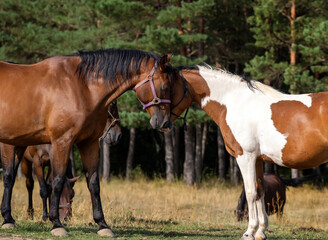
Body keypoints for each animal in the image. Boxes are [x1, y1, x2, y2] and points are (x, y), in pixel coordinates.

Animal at [0, 48, 173, 236]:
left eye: (73, 195)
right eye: (165, 87)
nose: (165, 122)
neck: (80, 87)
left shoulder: (88, 143)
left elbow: (93, 183)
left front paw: (102, 224)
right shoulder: (59, 144)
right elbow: (55, 183)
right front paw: (56, 223)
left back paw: (9, 218)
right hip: (13, 148)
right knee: (13, 178)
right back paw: (10, 218)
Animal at [170, 64, 326, 239]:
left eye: (167, 87)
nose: (160, 122)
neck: (235, 102)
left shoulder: (245, 156)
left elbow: (250, 191)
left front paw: (249, 232)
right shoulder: (257, 159)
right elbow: (259, 190)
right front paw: (261, 232)